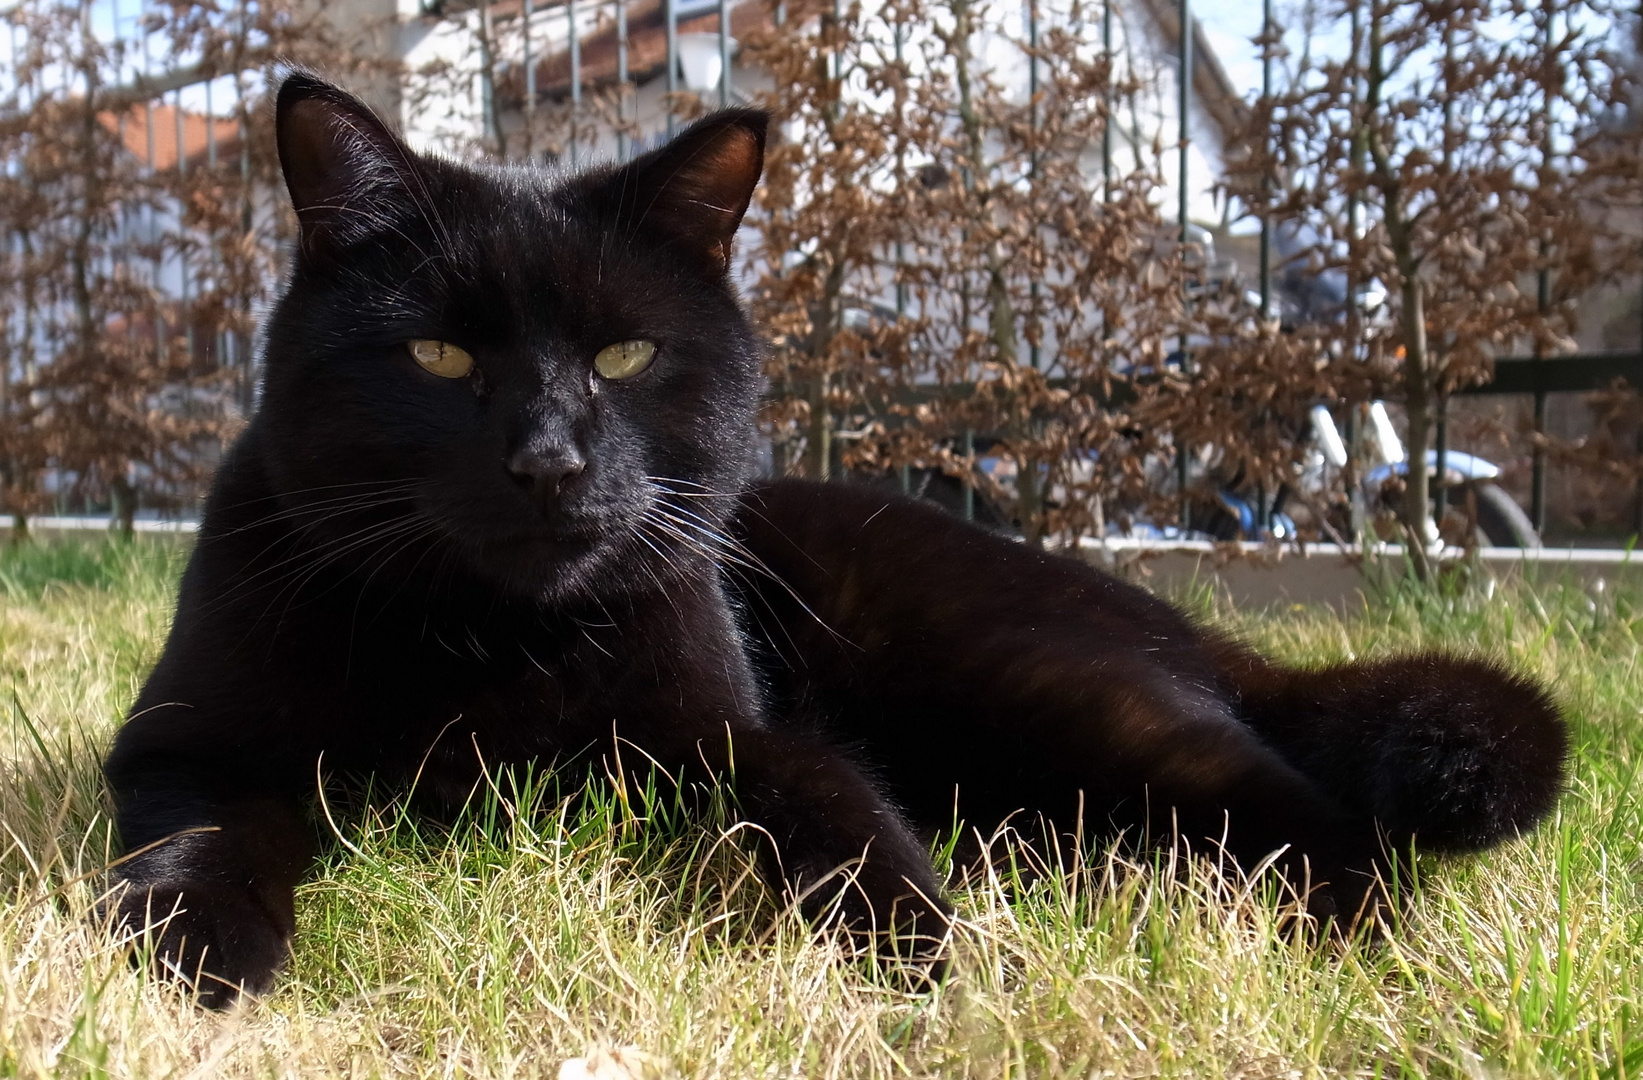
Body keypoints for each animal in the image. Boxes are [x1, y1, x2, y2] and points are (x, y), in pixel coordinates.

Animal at [102, 71, 1564, 1006]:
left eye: (624, 357)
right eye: (440, 357)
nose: (549, 460)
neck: (488, 641)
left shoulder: (734, 738)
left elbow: (845, 824)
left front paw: (948, 971)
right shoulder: (179, 743)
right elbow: (194, 837)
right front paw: (201, 954)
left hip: (1037, 683)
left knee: (1309, 813)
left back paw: (1397, 960)